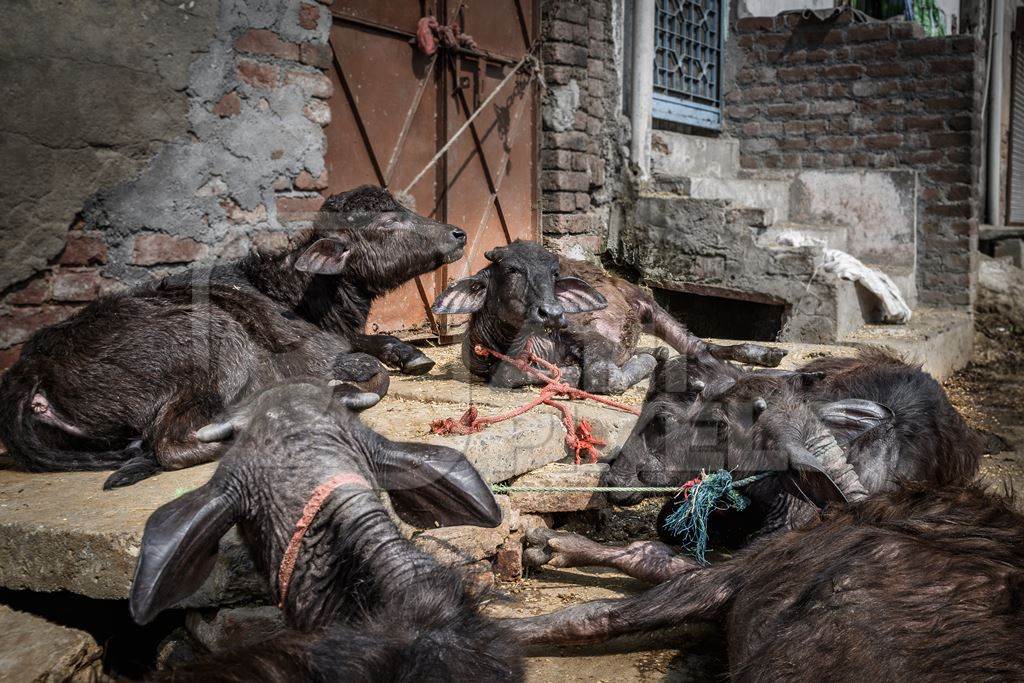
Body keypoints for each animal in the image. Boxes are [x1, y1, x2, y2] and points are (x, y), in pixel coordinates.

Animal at [2, 184, 466, 489]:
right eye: (388, 221)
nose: (458, 234)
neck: (293, 293)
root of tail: (31, 367)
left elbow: (371, 341)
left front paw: (410, 354)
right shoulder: (315, 354)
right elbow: (371, 371)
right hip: (218, 341)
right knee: (171, 444)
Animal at [430, 241, 782, 395]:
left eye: (554, 272)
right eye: (512, 269)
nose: (553, 313)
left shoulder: (592, 336)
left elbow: (602, 376)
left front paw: (645, 362)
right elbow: (508, 375)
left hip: (648, 304)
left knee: (697, 346)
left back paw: (764, 356)